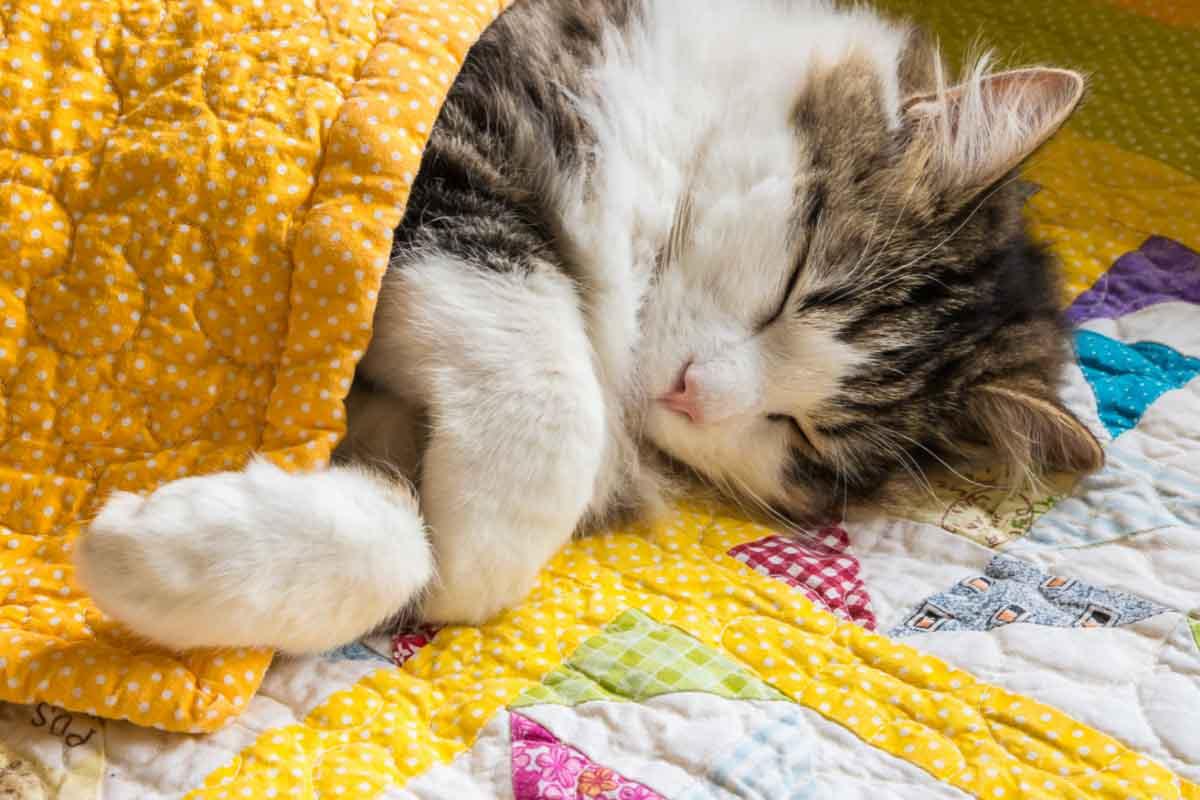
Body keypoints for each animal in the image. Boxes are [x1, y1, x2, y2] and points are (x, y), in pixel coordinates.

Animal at [75, 0, 1104, 652]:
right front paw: (473, 553)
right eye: (795, 281)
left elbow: (406, 545)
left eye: (806, 438)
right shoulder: (453, 139)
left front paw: (150, 553)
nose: (692, 391)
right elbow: (549, 404)